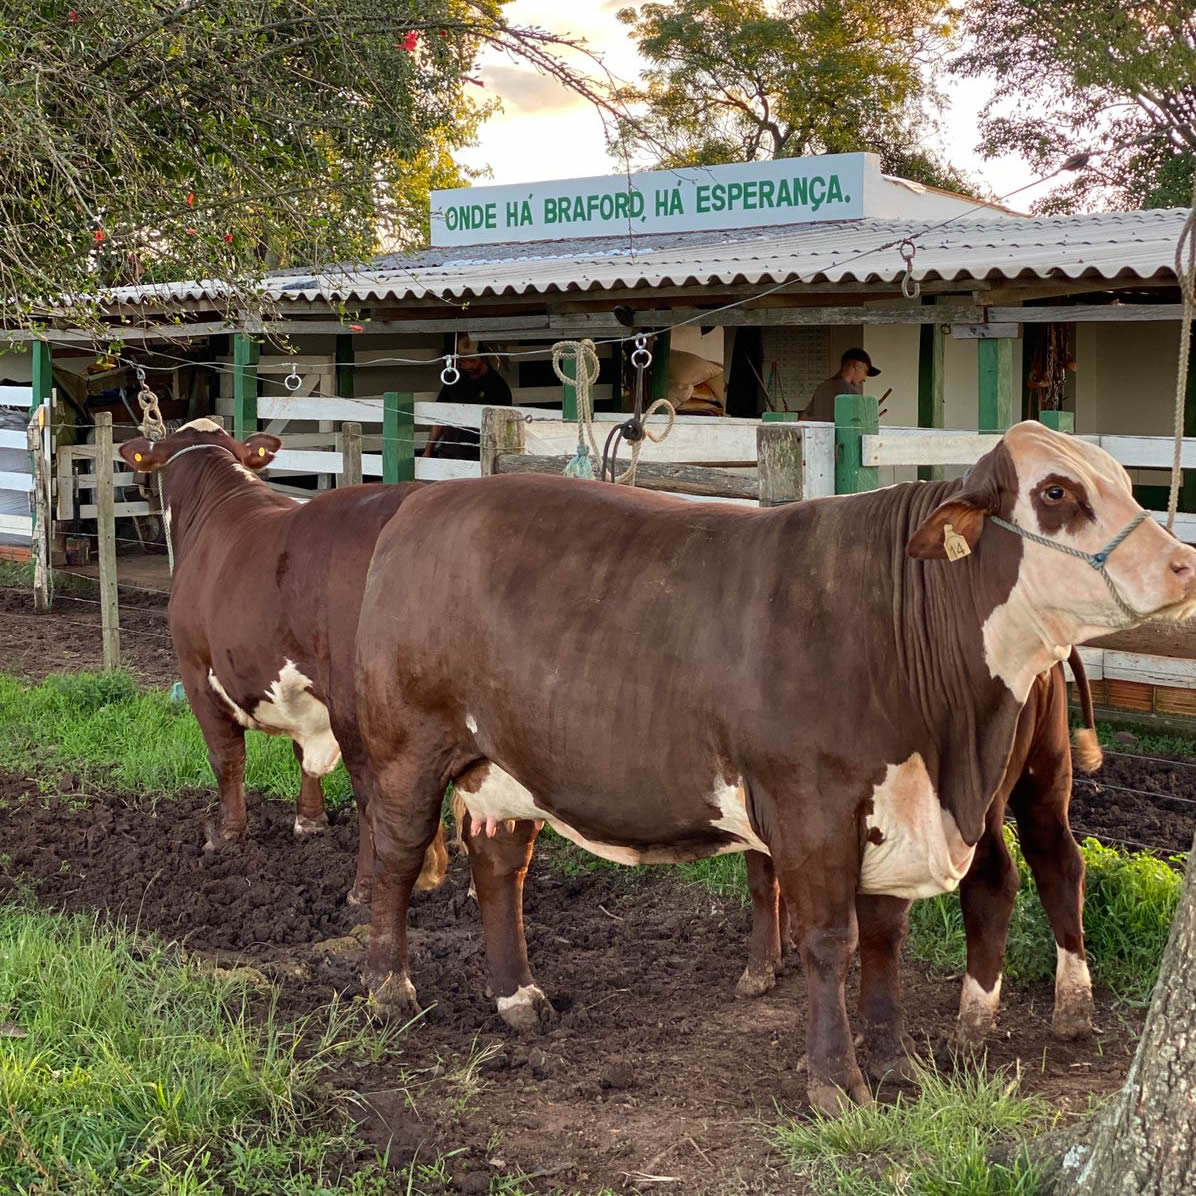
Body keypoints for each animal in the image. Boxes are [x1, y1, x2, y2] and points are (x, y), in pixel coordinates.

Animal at [116, 420, 447, 899]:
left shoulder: (196, 670)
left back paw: (364, 889)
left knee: (373, 794)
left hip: (358, 708)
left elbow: (226, 756)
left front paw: (226, 834)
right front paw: (310, 822)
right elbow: (303, 753)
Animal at [349, 423, 1191, 1109]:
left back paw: (518, 997)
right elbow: (827, 940)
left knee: (499, 865)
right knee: (396, 858)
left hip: (506, 762)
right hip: (409, 748)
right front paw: (836, 1082)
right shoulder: (812, 804)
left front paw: (894, 1063)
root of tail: (424, 504)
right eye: (1055, 491)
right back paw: (388, 991)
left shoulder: (896, 809)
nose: (1184, 563)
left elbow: (884, 939)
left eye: (1121, 479)